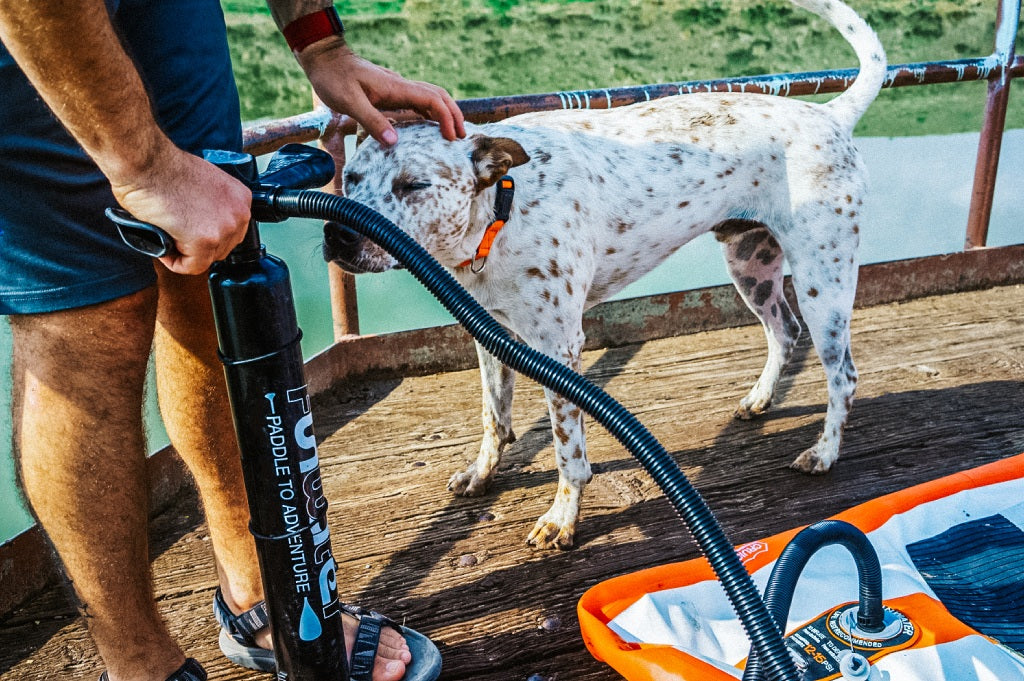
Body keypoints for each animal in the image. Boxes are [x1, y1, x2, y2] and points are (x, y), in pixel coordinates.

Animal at [323, 0, 884, 548]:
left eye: (413, 185)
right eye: (349, 177)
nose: (339, 234)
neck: (503, 211)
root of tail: (829, 114)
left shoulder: (558, 346)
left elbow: (567, 450)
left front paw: (562, 517)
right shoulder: (490, 335)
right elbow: (493, 418)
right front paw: (482, 474)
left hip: (823, 283)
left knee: (843, 375)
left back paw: (824, 452)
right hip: (751, 265)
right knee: (783, 331)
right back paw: (760, 399)